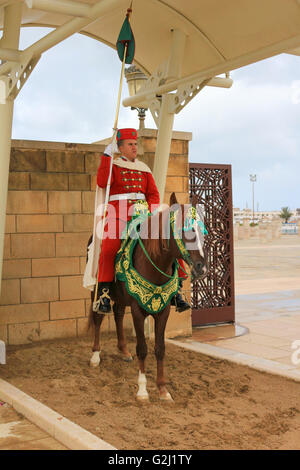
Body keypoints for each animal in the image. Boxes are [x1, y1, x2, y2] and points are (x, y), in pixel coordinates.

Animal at [88, 193, 207, 402]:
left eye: (201, 228)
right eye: (182, 229)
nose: (201, 267)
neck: (154, 264)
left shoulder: (164, 312)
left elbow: (160, 349)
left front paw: (162, 389)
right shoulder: (138, 311)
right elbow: (142, 348)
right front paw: (142, 390)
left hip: (121, 298)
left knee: (118, 314)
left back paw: (123, 350)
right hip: (96, 290)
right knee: (98, 317)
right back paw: (95, 355)